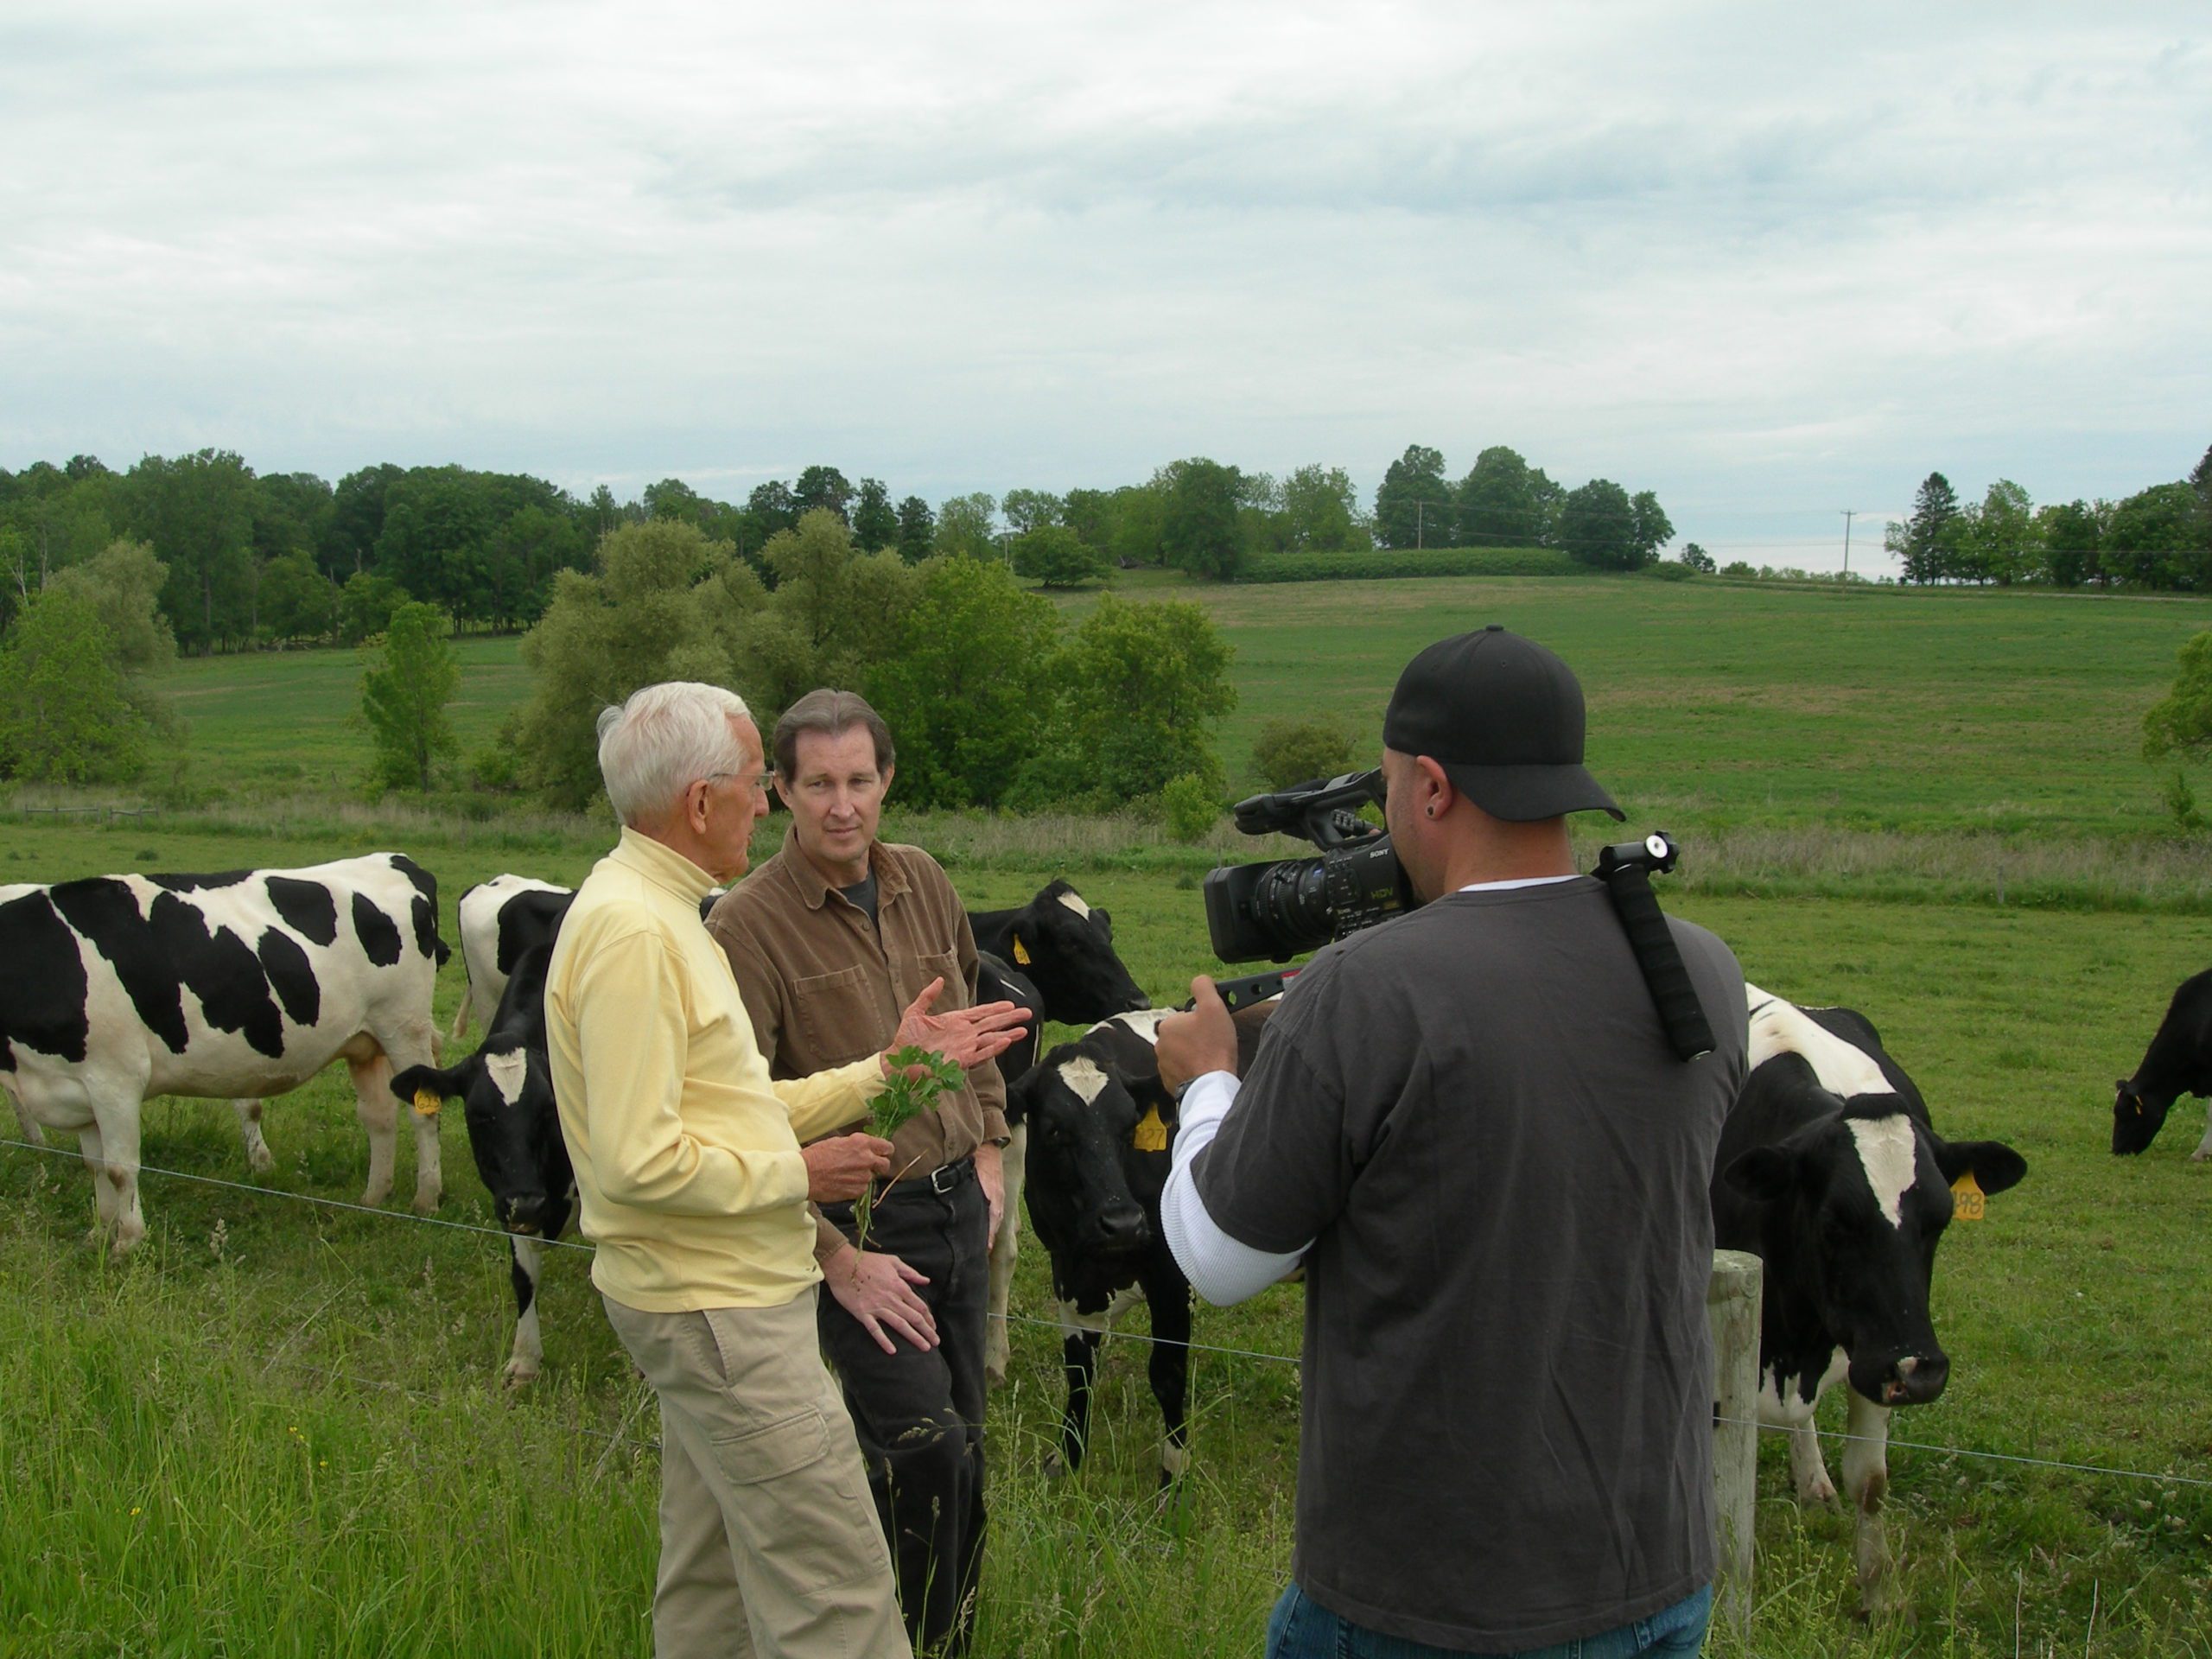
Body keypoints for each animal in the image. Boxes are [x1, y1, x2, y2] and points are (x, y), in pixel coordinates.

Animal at [0, 862, 448, 1256]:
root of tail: (394, 860)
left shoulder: (116, 1079)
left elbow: (119, 1168)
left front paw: (127, 1242)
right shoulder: (79, 1088)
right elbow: (95, 1167)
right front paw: (100, 1233)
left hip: (403, 1026)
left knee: (422, 1114)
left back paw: (425, 1199)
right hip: (365, 1041)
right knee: (378, 1116)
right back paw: (374, 1196)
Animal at [397, 946, 575, 1389]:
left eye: (548, 1110)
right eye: (478, 1116)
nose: (528, 1205)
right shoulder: (510, 1198)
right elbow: (523, 1277)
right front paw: (525, 1360)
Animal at [1716, 986, 2025, 1610]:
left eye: (1941, 1220)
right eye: (1835, 1222)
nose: (1922, 1373)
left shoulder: (1877, 1346)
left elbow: (1870, 1482)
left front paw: (1879, 1596)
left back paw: (1814, 1483)